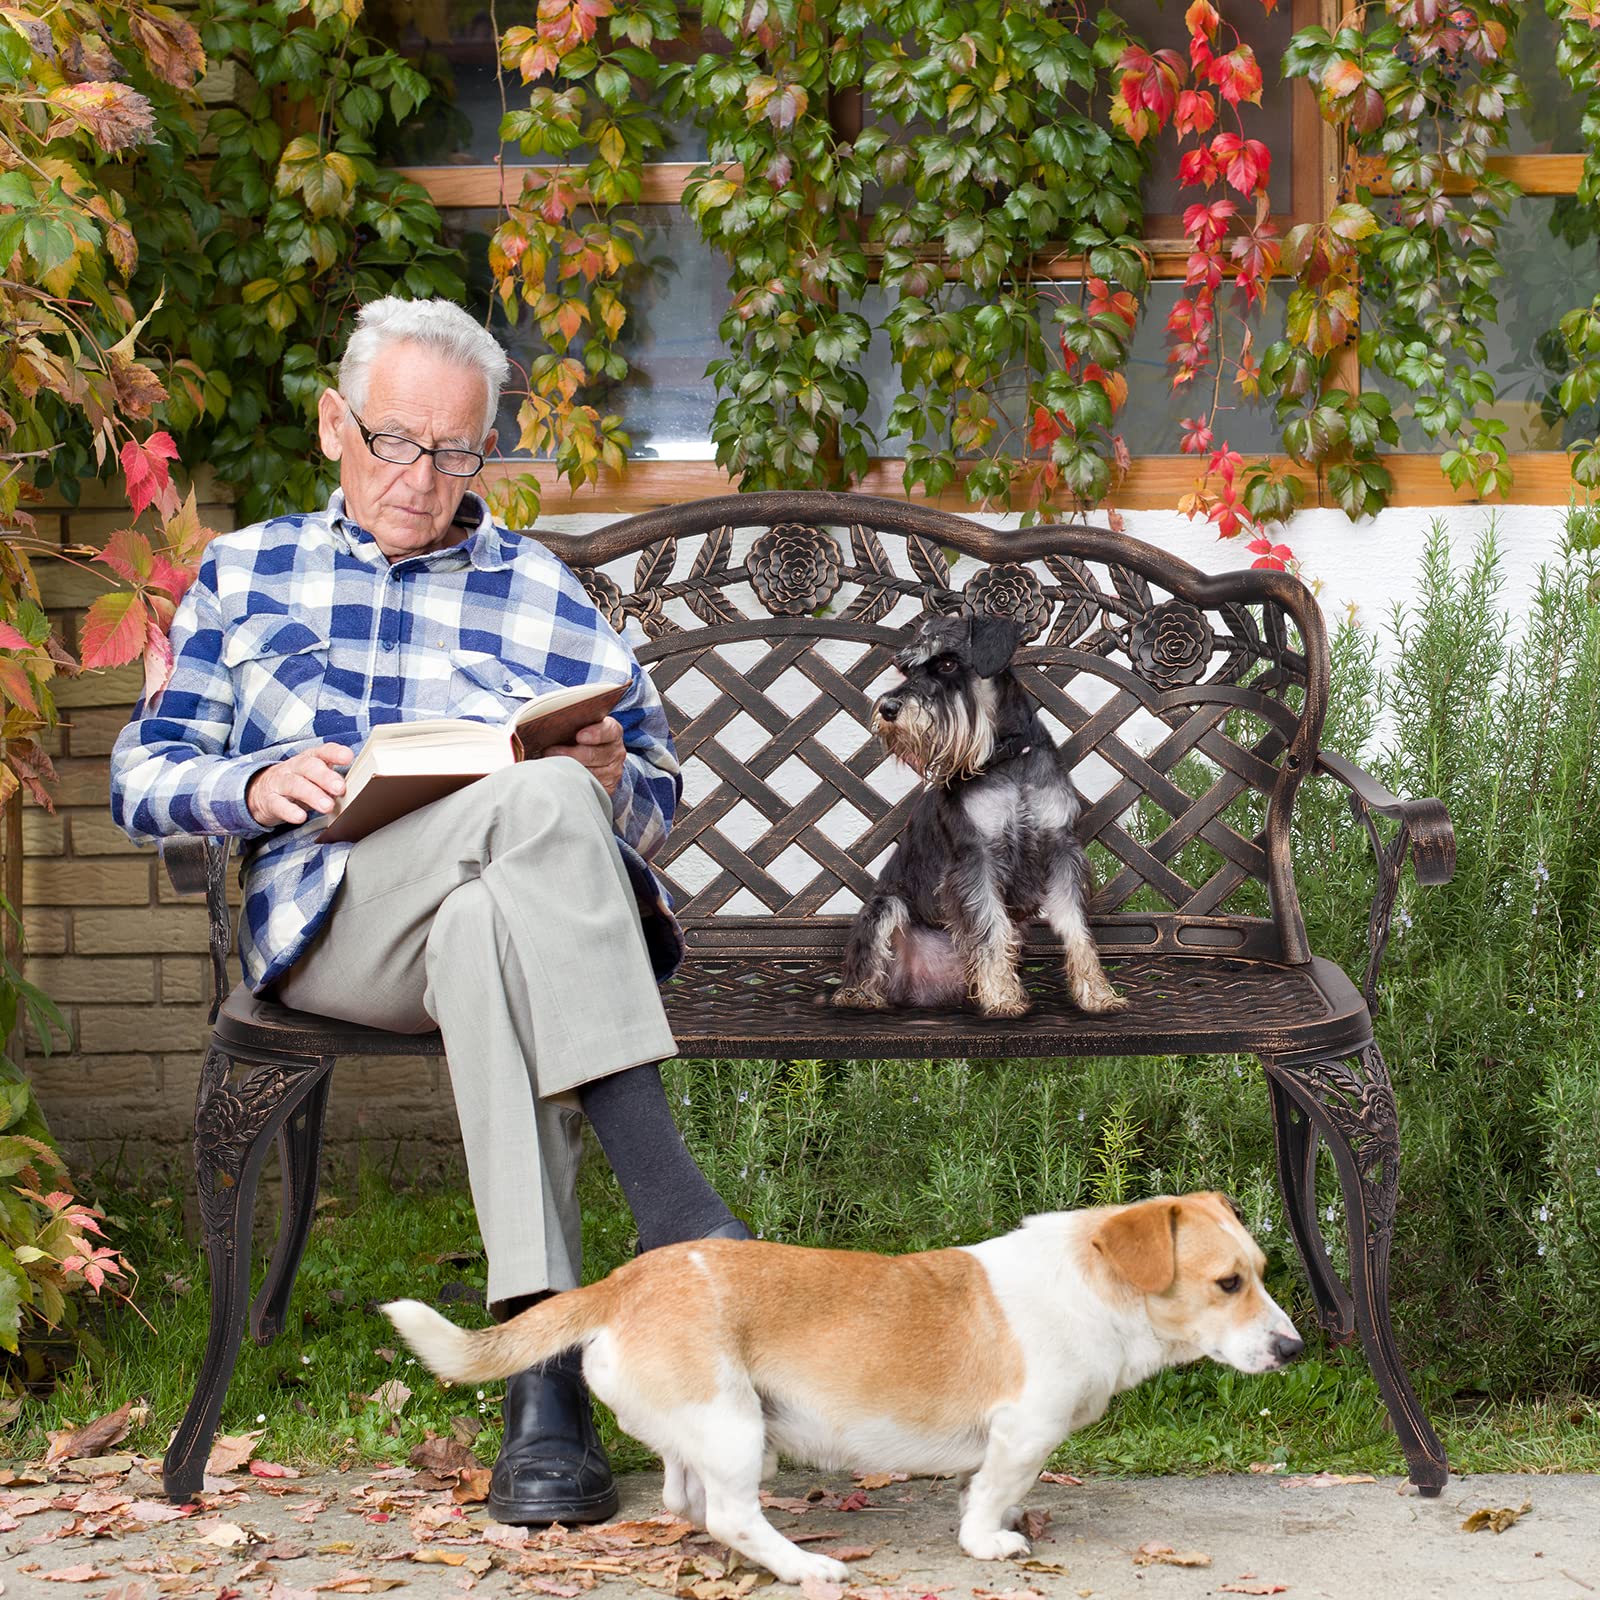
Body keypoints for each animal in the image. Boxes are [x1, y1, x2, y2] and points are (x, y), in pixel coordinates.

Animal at [387, 1196, 1299, 1580]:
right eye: (1227, 1284)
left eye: (1259, 1273)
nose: (1293, 1349)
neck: (1096, 1283)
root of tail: (621, 1283)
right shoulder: (1023, 1435)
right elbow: (989, 1497)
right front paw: (991, 1542)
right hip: (734, 1428)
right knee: (729, 1514)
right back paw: (805, 1566)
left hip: (715, 1428)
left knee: (687, 1500)